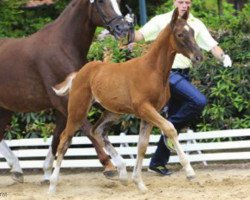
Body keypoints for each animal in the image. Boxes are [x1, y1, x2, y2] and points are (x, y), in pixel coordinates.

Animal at [0, 0, 132, 184]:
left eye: (118, 2)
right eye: (100, 2)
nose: (123, 28)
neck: (63, 46)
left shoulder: (65, 105)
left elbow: (57, 138)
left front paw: (47, 172)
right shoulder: (64, 102)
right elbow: (88, 129)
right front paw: (111, 166)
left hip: (5, 109)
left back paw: (17, 170)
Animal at [49, 8, 202, 193]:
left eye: (193, 31)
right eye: (180, 34)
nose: (199, 57)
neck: (152, 70)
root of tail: (80, 72)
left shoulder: (149, 113)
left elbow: (142, 146)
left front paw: (139, 183)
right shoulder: (145, 108)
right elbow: (170, 128)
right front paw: (190, 172)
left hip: (113, 112)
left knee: (97, 131)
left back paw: (122, 173)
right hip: (77, 110)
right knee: (65, 139)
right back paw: (52, 185)